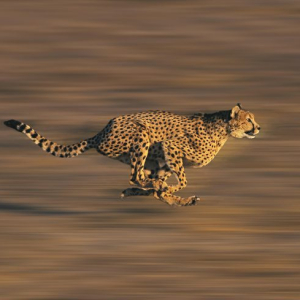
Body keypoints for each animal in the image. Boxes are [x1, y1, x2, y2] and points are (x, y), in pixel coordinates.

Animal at [2, 103, 260, 206]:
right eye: (248, 119)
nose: (258, 128)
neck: (224, 129)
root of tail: (102, 130)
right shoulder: (171, 146)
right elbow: (183, 180)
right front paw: (170, 189)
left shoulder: (165, 158)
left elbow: (166, 186)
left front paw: (171, 194)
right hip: (141, 135)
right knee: (136, 176)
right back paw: (153, 189)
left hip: (151, 157)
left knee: (142, 180)